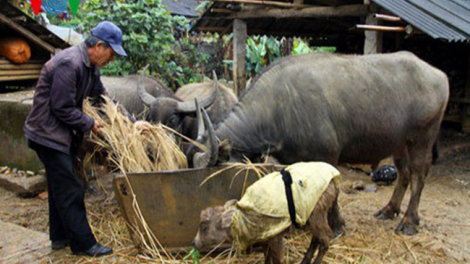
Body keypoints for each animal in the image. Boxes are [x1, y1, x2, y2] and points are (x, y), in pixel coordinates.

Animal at [194, 51, 448, 235]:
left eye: (217, 175)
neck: (278, 108)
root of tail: (439, 76)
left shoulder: (328, 157)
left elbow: (332, 192)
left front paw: (336, 226)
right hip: (399, 143)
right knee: (404, 173)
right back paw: (389, 210)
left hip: (422, 138)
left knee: (418, 175)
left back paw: (409, 222)